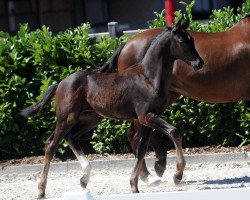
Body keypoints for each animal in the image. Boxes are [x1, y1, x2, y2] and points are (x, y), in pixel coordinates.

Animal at [99, 14, 250, 184]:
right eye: (183, 42)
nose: (199, 63)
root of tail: (126, 44)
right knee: (136, 136)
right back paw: (149, 175)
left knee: (140, 134)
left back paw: (158, 165)